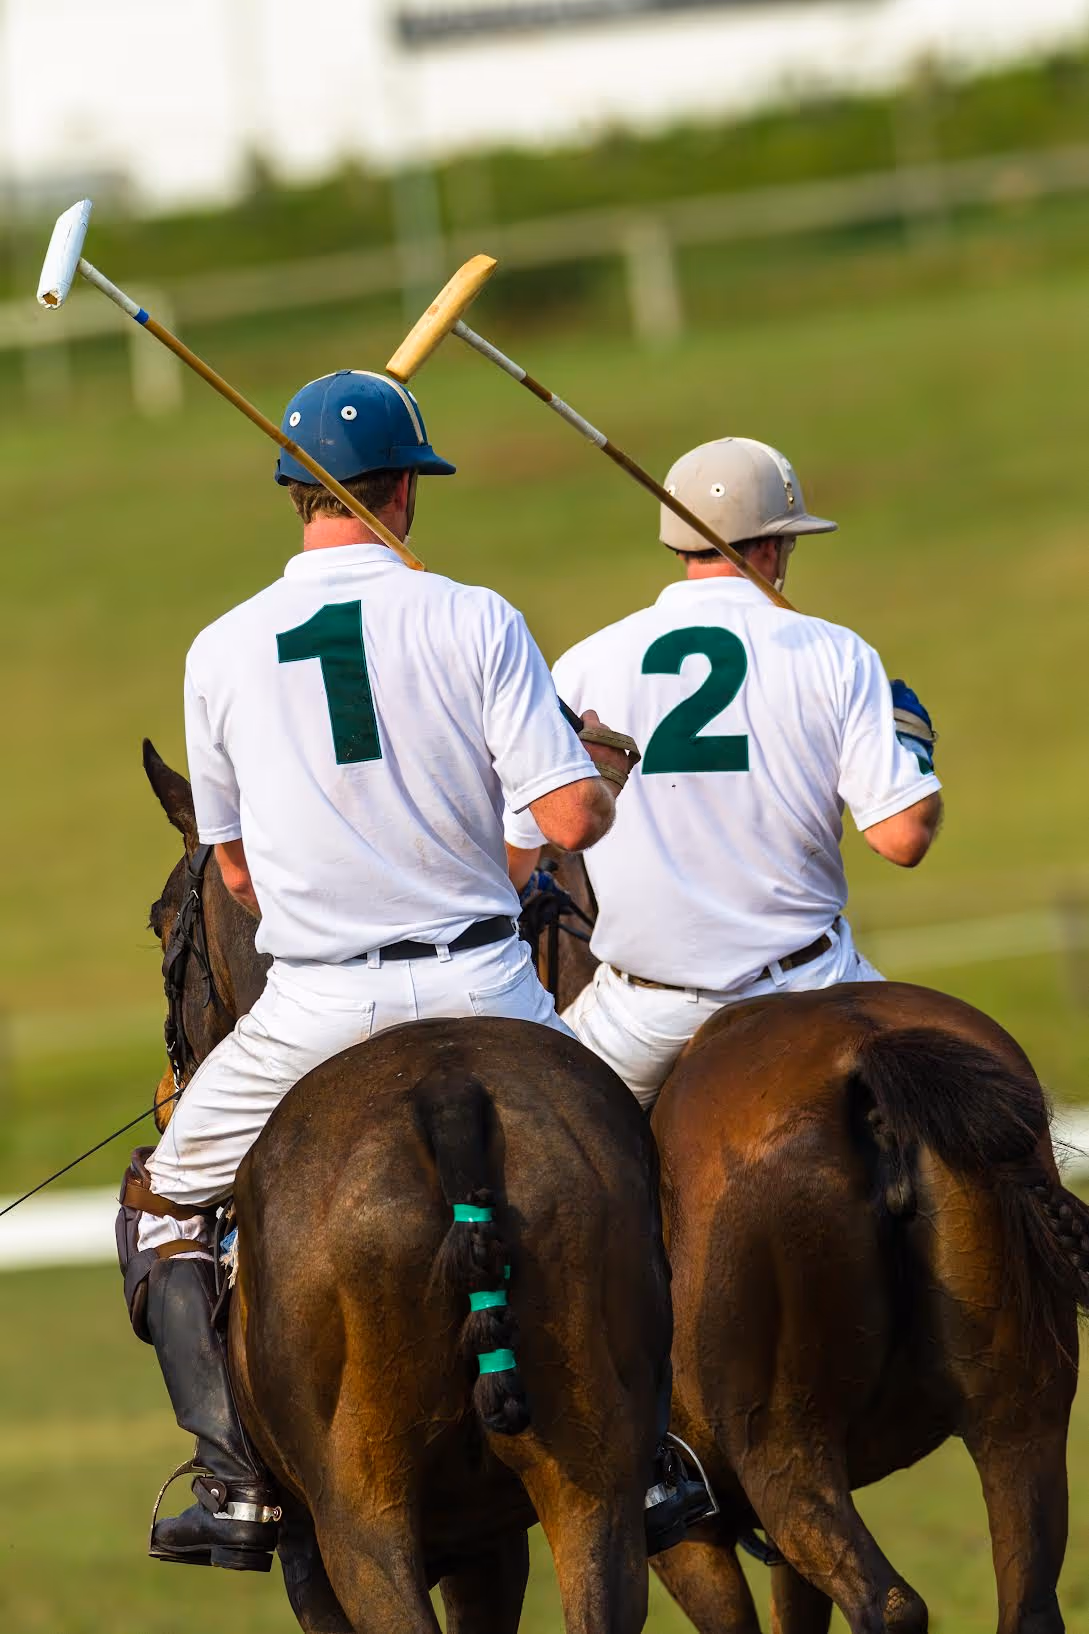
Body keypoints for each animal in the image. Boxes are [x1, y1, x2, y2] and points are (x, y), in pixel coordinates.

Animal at [140, 742, 673, 1634]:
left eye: (158, 918)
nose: (168, 1091)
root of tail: (447, 1094)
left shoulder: (312, 1558)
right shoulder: (487, 1538)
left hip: (359, 1516)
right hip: (592, 1488)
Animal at [527, 852, 1089, 1632]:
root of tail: (867, 1053)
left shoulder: (677, 1533)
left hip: (783, 1450)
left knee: (887, 1602)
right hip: (1019, 1417)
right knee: (1026, 1599)